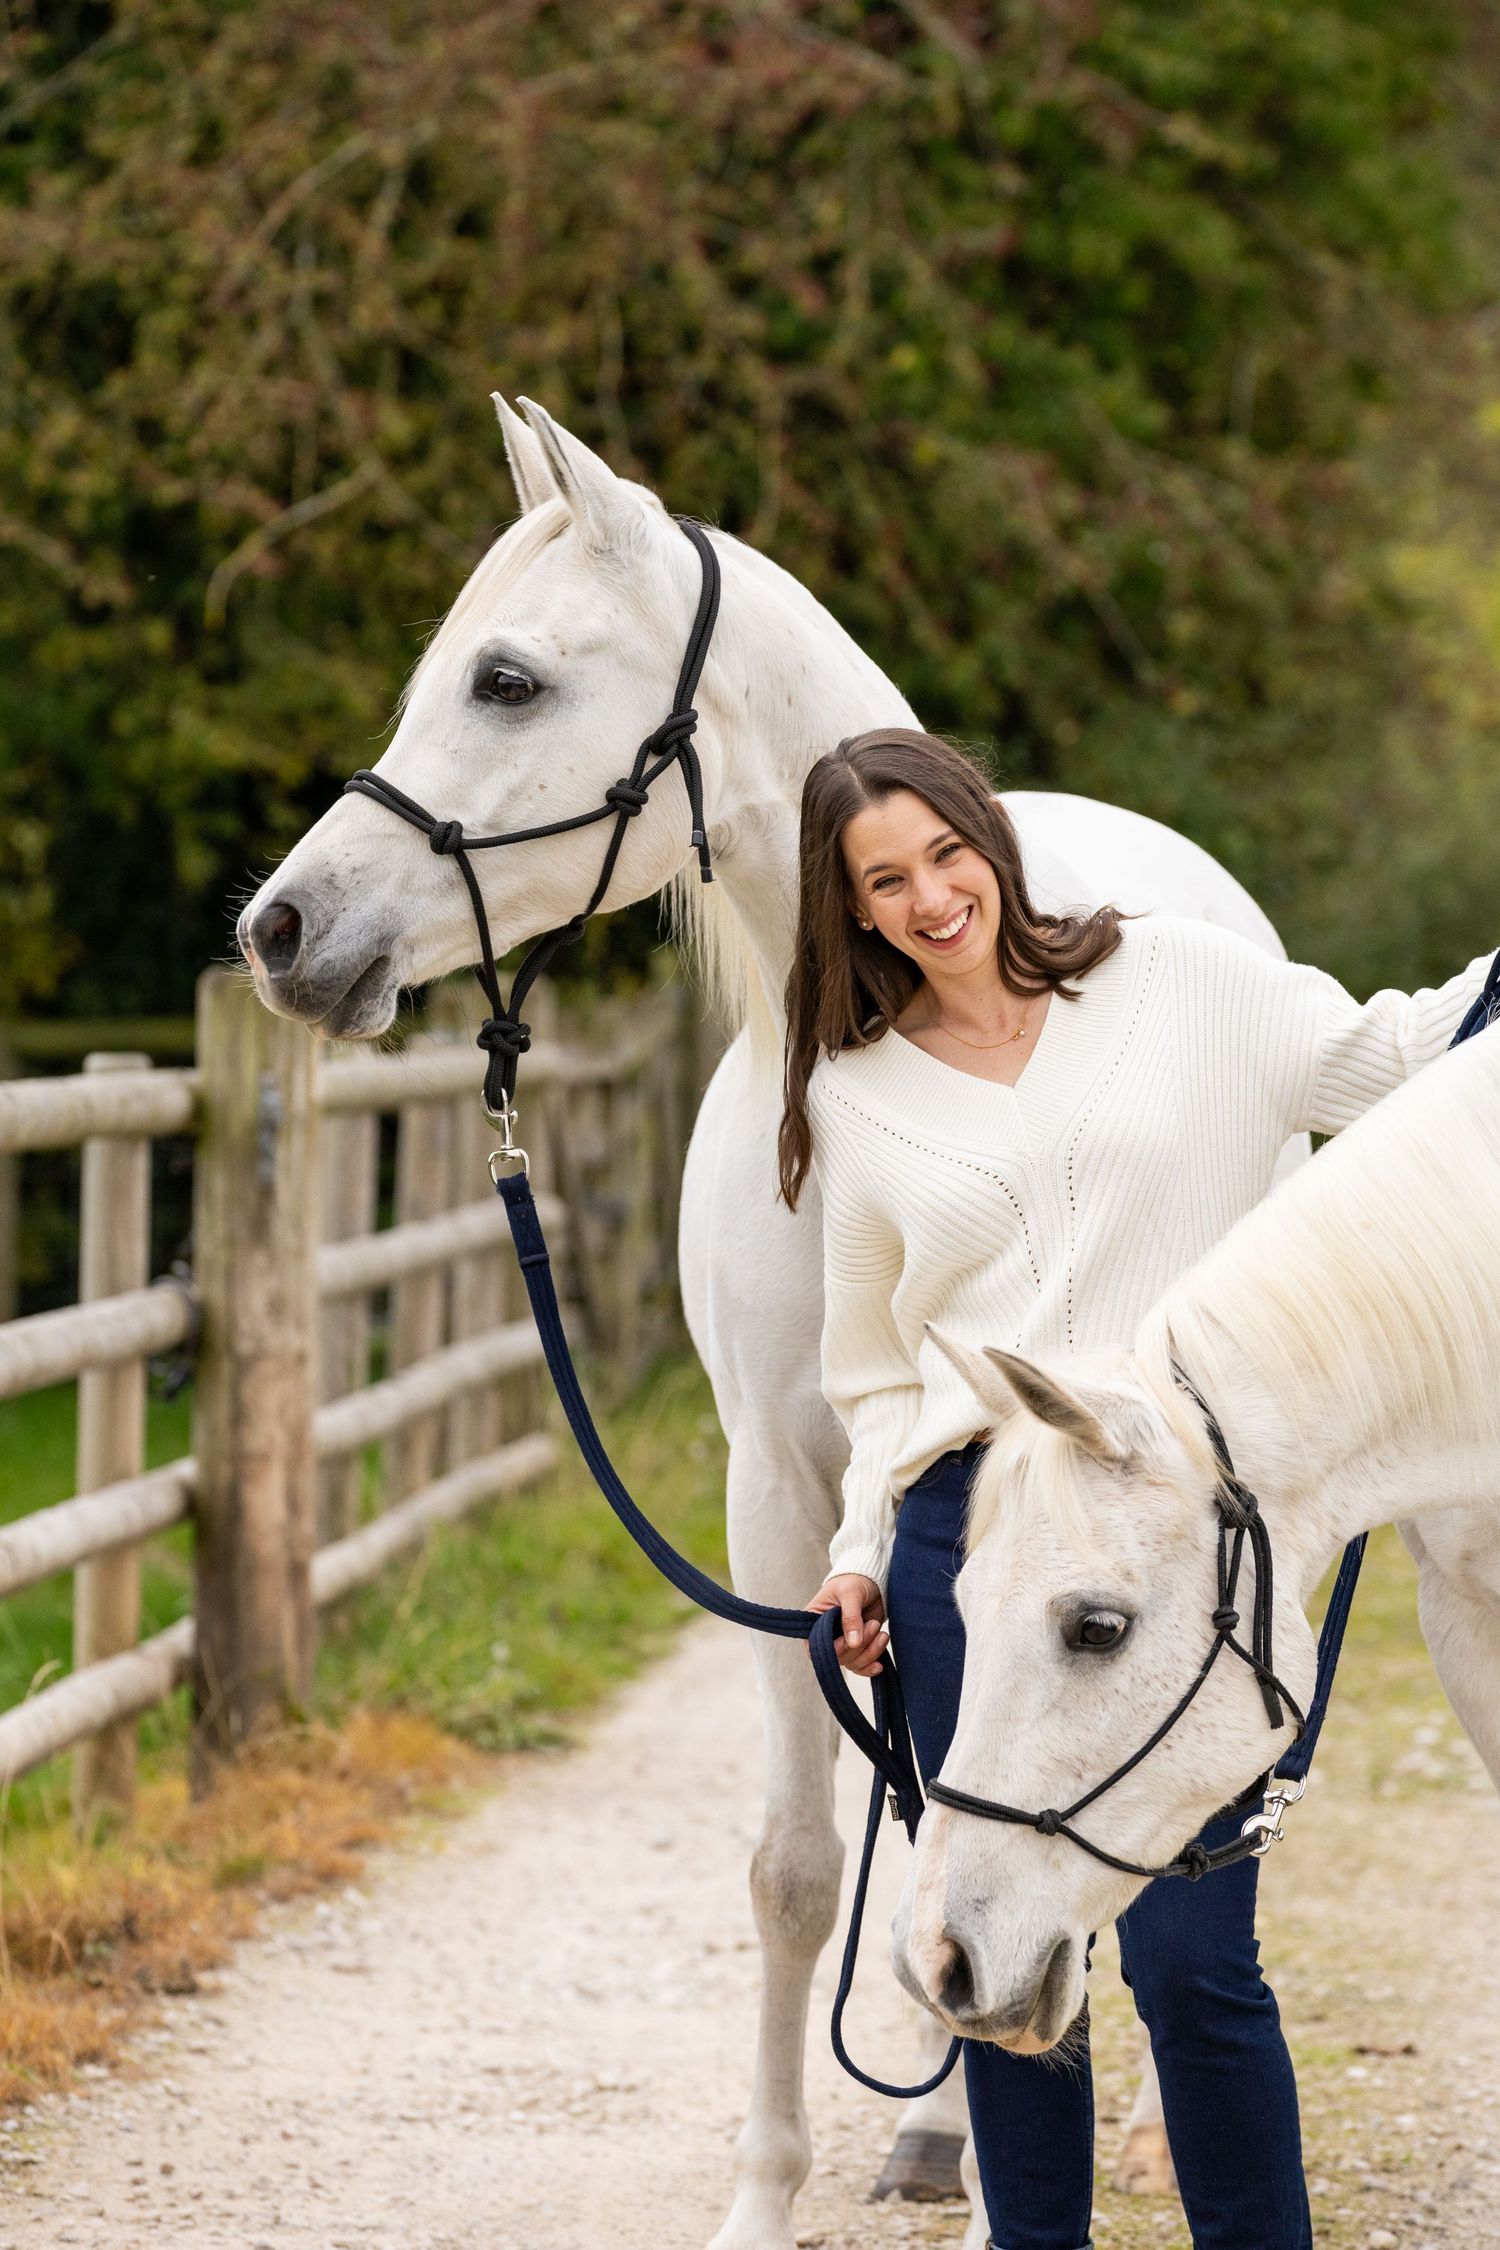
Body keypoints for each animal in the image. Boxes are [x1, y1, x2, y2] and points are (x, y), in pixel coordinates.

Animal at [239, 396, 1342, 2246]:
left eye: (509, 681)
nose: (281, 931)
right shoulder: (779, 1500)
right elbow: (802, 1867)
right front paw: (771, 2192)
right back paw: (928, 2124)